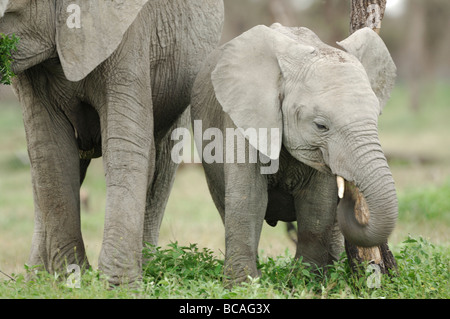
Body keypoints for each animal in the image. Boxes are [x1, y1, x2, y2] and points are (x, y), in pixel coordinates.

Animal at [0, 0, 224, 284]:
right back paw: (34, 279)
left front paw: (117, 286)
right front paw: (70, 281)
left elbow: (125, 144)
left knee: (160, 165)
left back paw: (150, 269)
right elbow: (50, 151)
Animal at [191, 23, 398, 286]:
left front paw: (304, 283)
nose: (351, 199)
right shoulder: (242, 117)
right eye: (321, 126)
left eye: (376, 117)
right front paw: (244, 285)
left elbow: (317, 204)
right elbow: (249, 196)